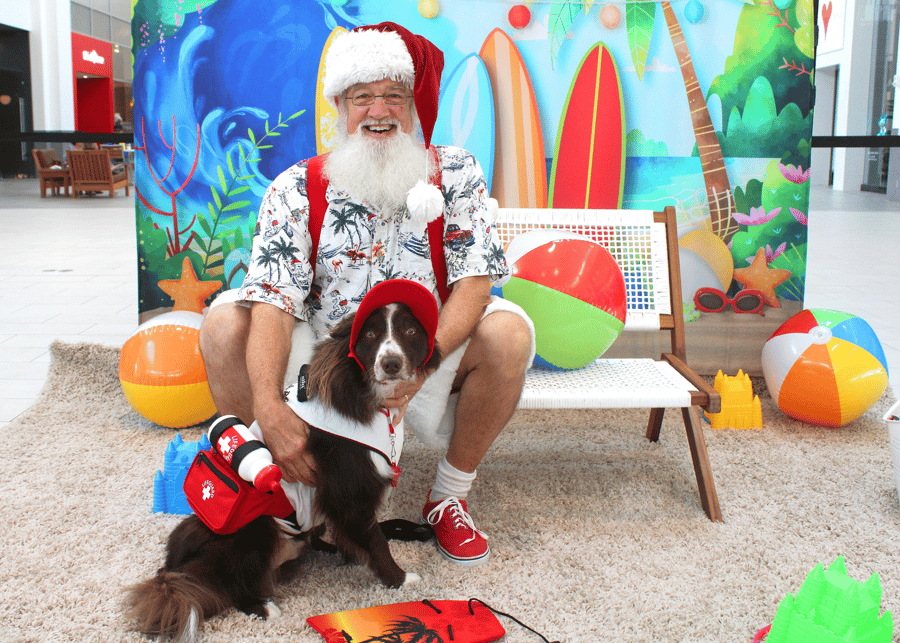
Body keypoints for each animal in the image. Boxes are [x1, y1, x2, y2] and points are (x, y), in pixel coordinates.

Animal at [126, 282, 442, 643]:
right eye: (371, 334)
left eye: (410, 331)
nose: (390, 363)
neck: (366, 397)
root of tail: (176, 566)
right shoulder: (350, 493)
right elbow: (375, 541)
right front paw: (400, 580)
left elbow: (368, 531)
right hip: (257, 527)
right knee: (232, 587)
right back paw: (264, 607)